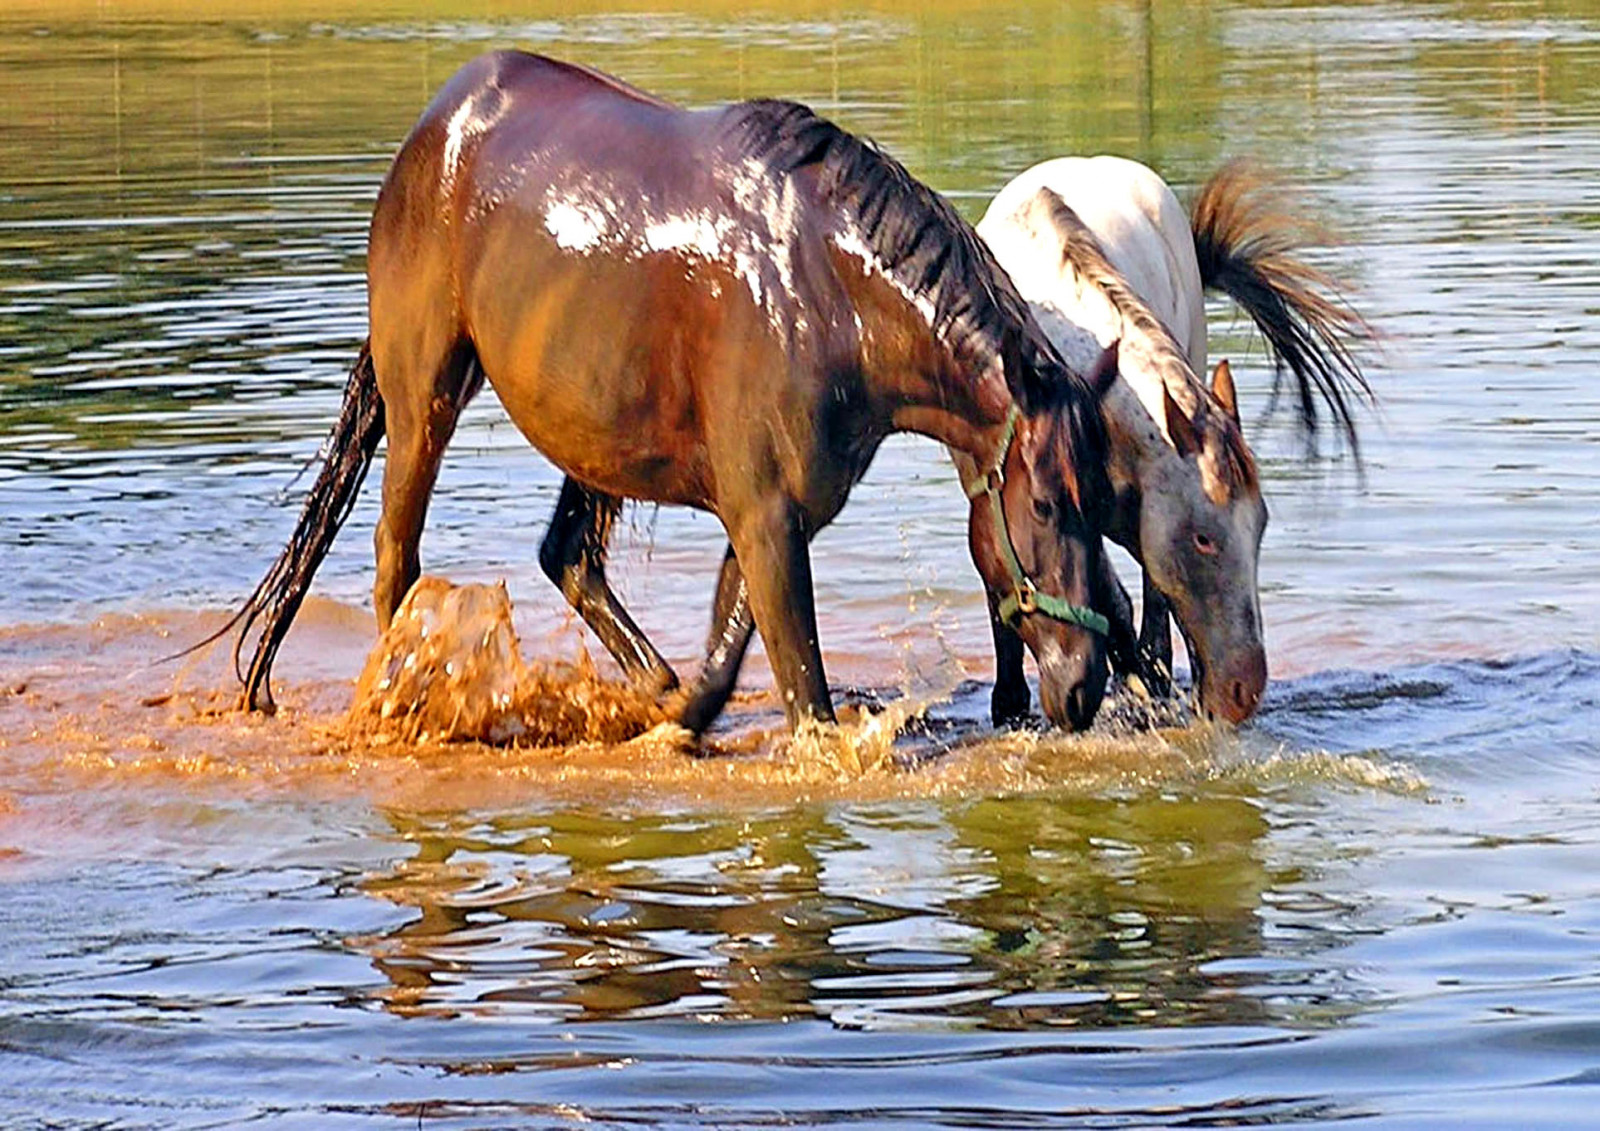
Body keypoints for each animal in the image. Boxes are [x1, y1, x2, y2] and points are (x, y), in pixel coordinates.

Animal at [215, 51, 1122, 736]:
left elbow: (725, 661)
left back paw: (642, 687)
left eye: (1103, 498)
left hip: (590, 428)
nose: (1084, 686)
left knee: (567, 555)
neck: (833, 295)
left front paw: (670, 723)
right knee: (396, 562)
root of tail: (434, 129)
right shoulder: (763, 513)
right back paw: (406, 695)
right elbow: (806, 700)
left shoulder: (773, 513)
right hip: (424, 398)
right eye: (1047, 507)